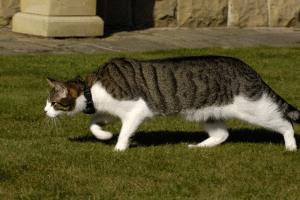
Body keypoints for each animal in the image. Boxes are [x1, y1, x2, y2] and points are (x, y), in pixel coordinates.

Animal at [43, 55, 298, 151]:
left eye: (54, 103)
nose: (44, 112)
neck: (92, 87)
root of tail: (248, 68)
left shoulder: (137, 110)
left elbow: (125, 132)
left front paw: (118, 148)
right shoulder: (111, 111)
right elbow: (93, 122)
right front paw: (104, 135)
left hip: (255, 109)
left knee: (285, 123)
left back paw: (290, 146)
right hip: (208, 113)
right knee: (222, 135)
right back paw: (199, 147)